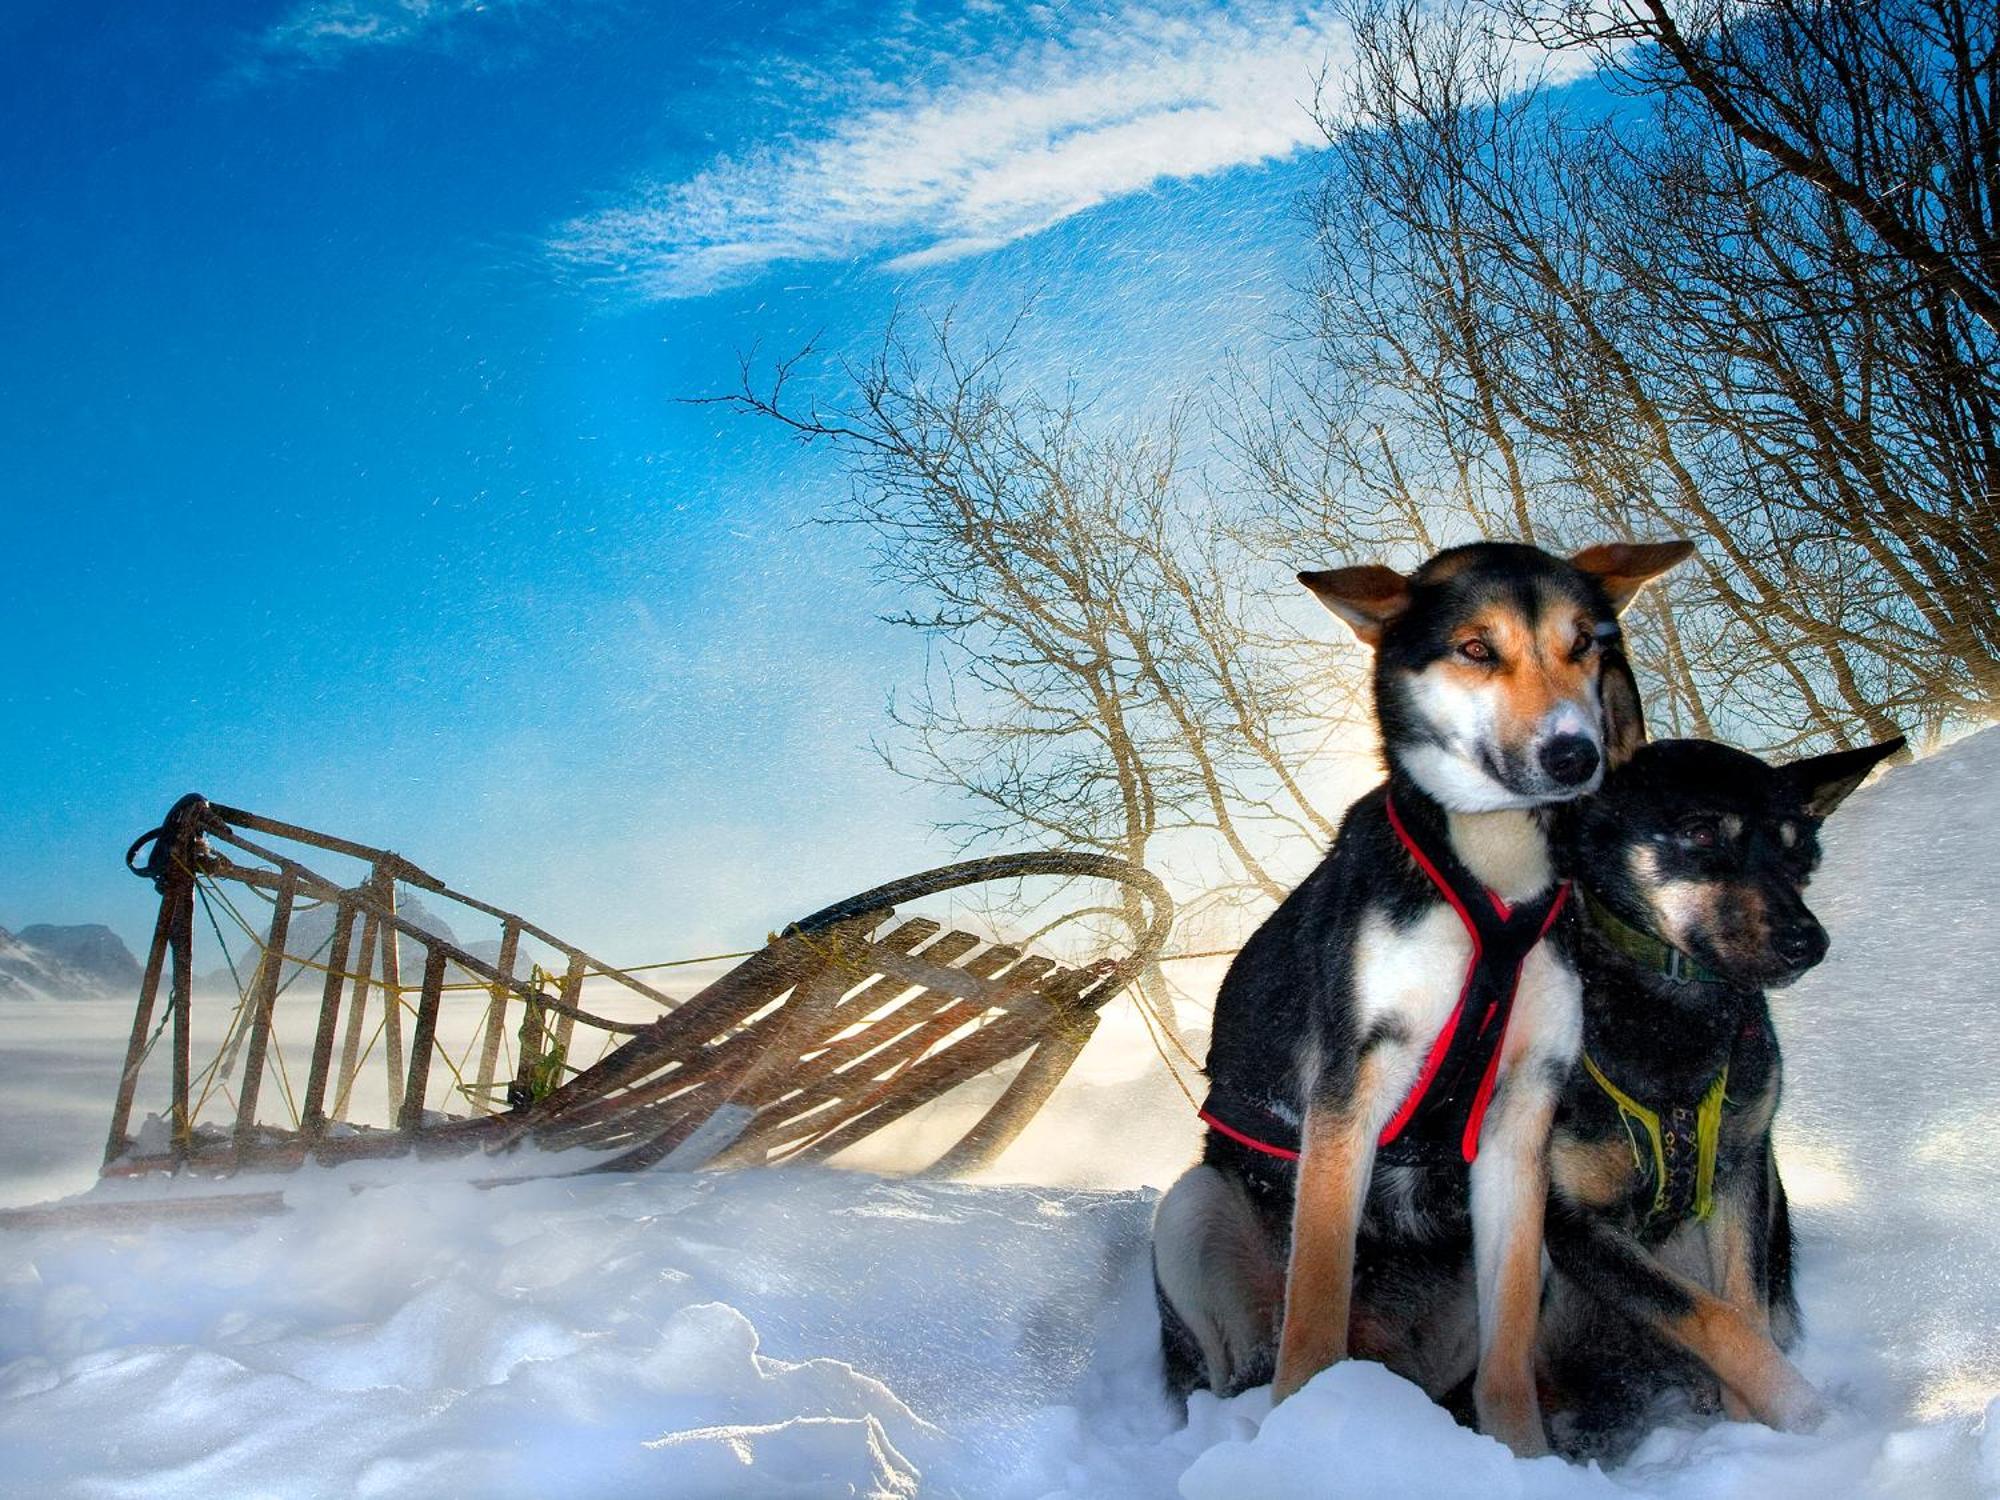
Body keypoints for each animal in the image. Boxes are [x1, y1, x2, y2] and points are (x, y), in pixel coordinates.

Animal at [1536, 736, 1896, 1464]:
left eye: (1798, 850)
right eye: (1701, 833)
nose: (1808, 942)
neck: (1670, 1016)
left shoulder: (1741, 1171)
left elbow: (1742, 1309)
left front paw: (1757, 1427)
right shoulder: (1573, 1223)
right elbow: (1709, 1317)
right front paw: (1809, 1417)